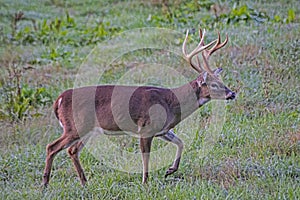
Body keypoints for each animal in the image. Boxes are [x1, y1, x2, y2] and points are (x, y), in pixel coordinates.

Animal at [42, 28, 236, 187]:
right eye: (214, 85)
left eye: (222, 81)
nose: (232, 93)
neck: (171, 102)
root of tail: (58, 100)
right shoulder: (146, 128)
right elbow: (145, 156)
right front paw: (145, 182)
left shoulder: (162, 130)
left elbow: (181, 142)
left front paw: (170, 170)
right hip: (75, 126)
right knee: (52, 147)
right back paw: (45, 183)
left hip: (88, 129)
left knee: (72, 150)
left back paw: (84, 182)